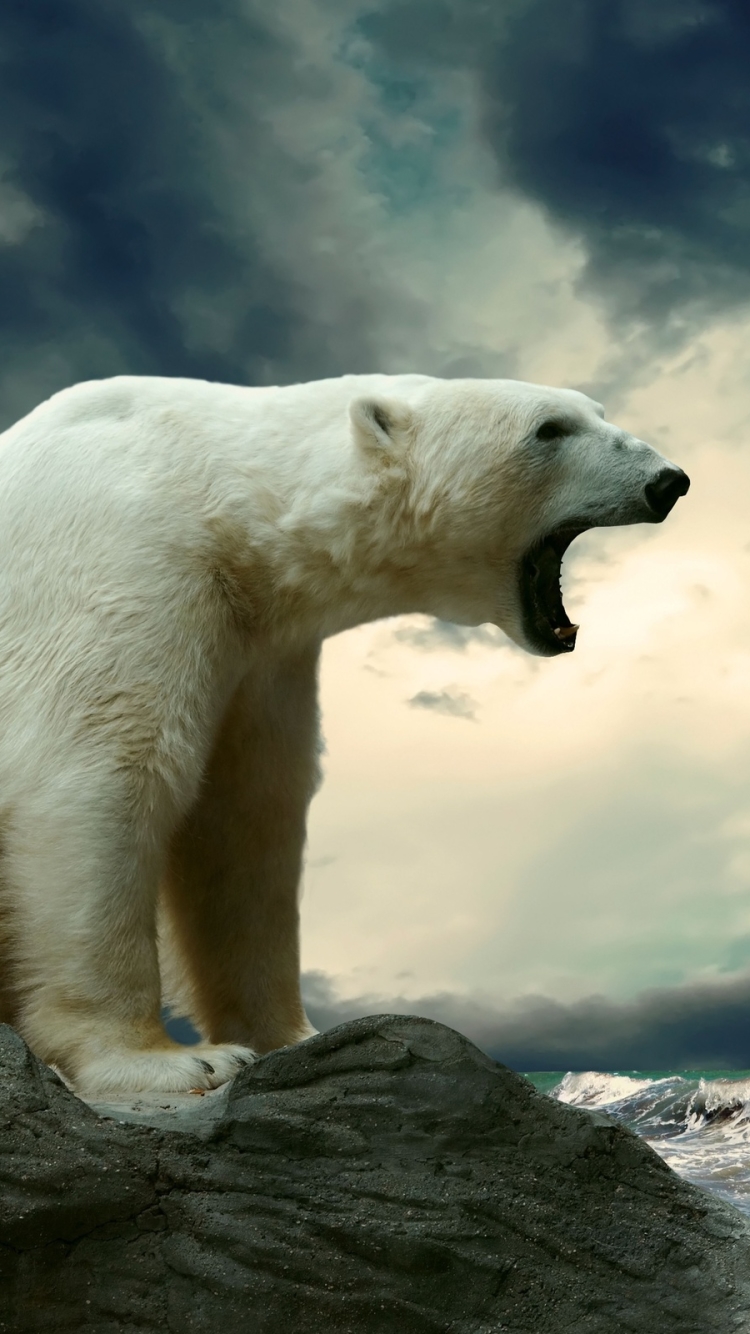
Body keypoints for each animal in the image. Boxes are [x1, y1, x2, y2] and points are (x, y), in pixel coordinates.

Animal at [0, 373, 689, 1096]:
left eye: (598, 411)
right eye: (548, 429)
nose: (668, 481)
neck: (224, 504)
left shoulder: (260, 650)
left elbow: (248, 818)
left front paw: (291, 1036)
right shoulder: (119, 565)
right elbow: (99, 774)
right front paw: (166, 1060)